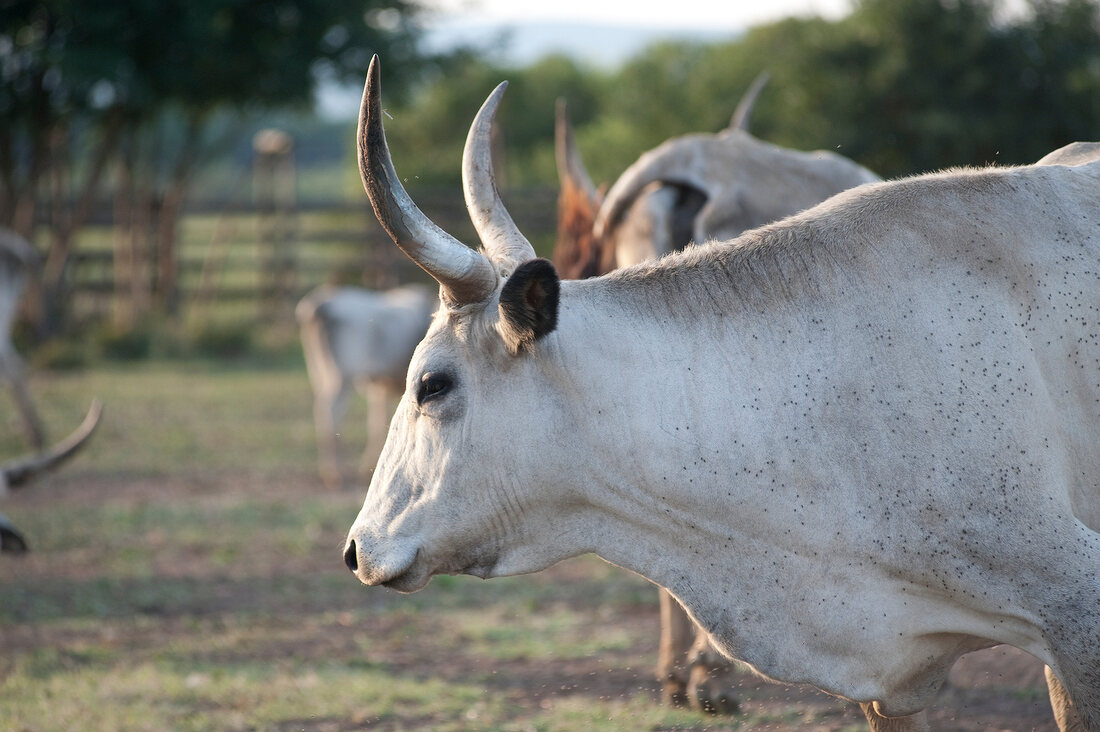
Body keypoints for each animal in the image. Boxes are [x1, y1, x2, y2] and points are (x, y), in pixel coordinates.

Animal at [301, 281, 442, 488]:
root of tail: (321, 304)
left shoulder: (380, 387)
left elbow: (377, 420)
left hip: (318, 370)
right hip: (342, 375)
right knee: (331, 410)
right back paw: (335, 472)